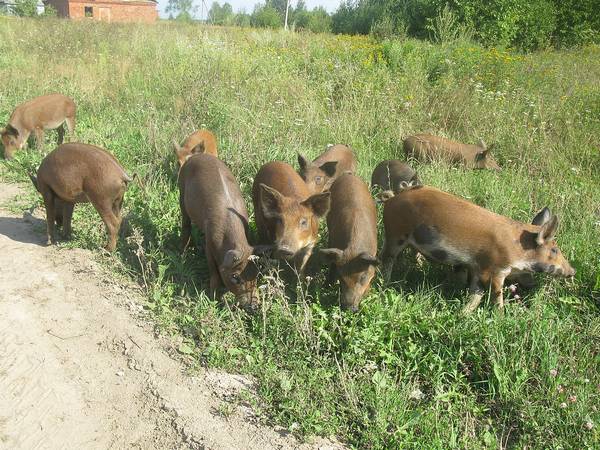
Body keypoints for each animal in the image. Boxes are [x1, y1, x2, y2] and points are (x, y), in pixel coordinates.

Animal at [178, 153, 268, 308]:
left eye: (256, 274)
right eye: (235, 277)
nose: (254, 306)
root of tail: (196, 156)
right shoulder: (209, 242)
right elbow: (214, 271)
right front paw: (213, 297)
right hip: (181, 191)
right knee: (186, 224)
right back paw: (182, 253)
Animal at [322, 174, 378, 312]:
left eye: (362, 278)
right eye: (341, 277)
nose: (348, 308)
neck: (355, 249)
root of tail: (349, 175)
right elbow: (332, 264)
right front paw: (326, 286)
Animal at [382, 186, 576, 312]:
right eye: (554, 250)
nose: (572, 271)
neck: (518, 250)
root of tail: (390, 199)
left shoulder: (478, 269)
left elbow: (476, 294)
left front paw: (463, 314)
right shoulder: (494, 270)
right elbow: (496, 295)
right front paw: (500, 315)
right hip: (395, 235)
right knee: (387, 259)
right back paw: (386, 284)